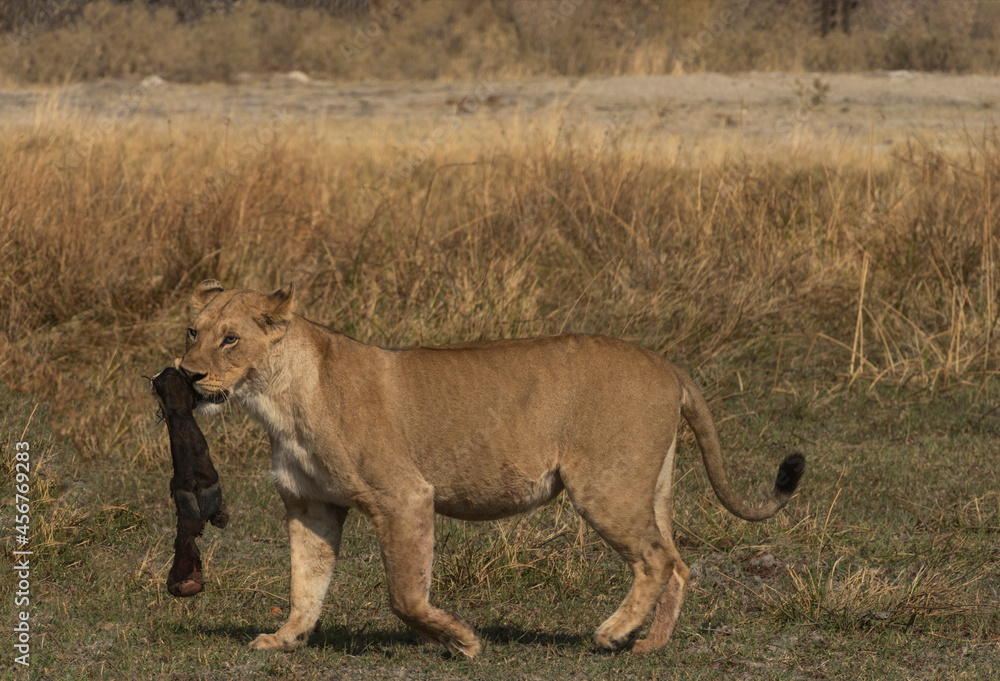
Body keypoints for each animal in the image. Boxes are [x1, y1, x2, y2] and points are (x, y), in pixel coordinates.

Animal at [176, 279, 804, 657]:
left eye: (230, 340)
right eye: (192, 332)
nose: (186, 373)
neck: (277, 398)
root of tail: (666, 362)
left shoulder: (404, 495)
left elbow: (404, 594)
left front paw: (463, 642)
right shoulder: (311, 503)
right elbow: (306, 580)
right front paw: (287, 638)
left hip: (605, 487)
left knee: (655, 559)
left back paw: (612, 634)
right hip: (652, 488)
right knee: (677, 562)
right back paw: (651, 646)